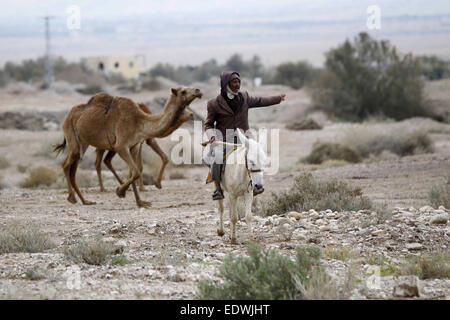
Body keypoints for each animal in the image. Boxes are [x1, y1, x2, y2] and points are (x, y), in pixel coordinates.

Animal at [53, 87, 201, 208]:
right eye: (183, 91)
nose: (198, 91)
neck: (140, 122)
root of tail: (68, 115)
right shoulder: (121, 146)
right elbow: (135, 172)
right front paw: (120, 191)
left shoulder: (134, 146)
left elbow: (135, 171)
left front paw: (140, 202)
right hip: (72, 137)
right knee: (66, 165)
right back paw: (72, 198)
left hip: (83, 143)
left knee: (73, 168)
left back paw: (86, 201)